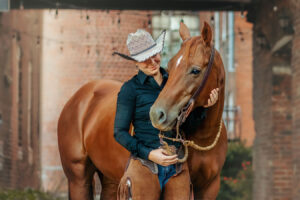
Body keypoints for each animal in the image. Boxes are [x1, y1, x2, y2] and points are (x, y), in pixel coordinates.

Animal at [57, 21, 227, 199]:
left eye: (195, 70)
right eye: (170, 66)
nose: (157, 114)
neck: (204, 137)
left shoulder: (209, 187)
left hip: (111, 180)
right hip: (78, 179)